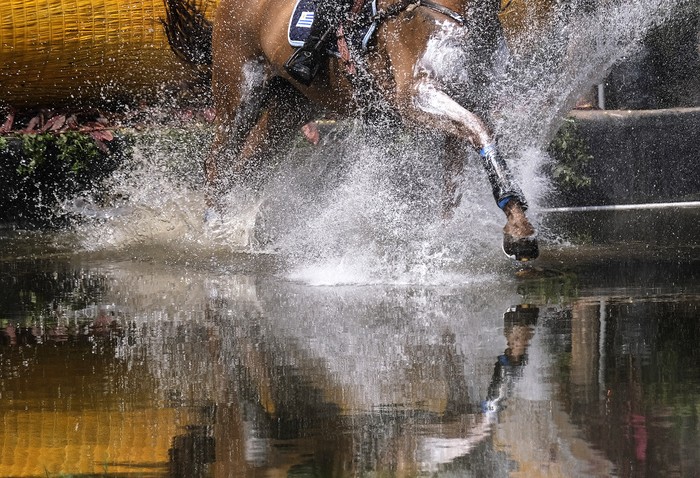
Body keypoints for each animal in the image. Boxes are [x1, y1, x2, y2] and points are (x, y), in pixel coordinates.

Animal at [164, 0, 540, 262]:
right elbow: (480, 132)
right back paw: (214, 232)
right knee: (218, 160)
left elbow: (455, 181)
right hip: (240, 89)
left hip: (292, 106)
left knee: (248, 165)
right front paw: (517, 229)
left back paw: (239, 230)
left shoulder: (473, 98)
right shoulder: (416, 96)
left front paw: (445, 239)